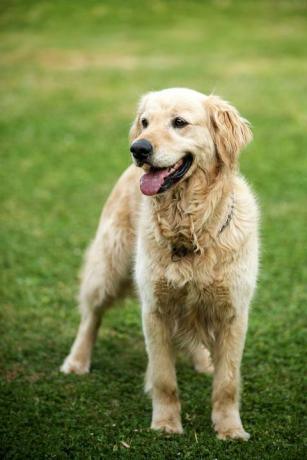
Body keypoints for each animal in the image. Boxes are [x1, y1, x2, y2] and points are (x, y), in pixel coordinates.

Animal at [60, 87, 260, 442]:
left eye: (179, 122)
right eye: (145, 122)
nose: (138, 148)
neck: (191, 227)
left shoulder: (233, 312)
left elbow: (227, 383)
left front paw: (230, 428)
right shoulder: (155, 309)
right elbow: (164, 377)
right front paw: (166, 424)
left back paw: (203, 361)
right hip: (109, 265)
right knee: (91, 314)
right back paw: (77, 360)